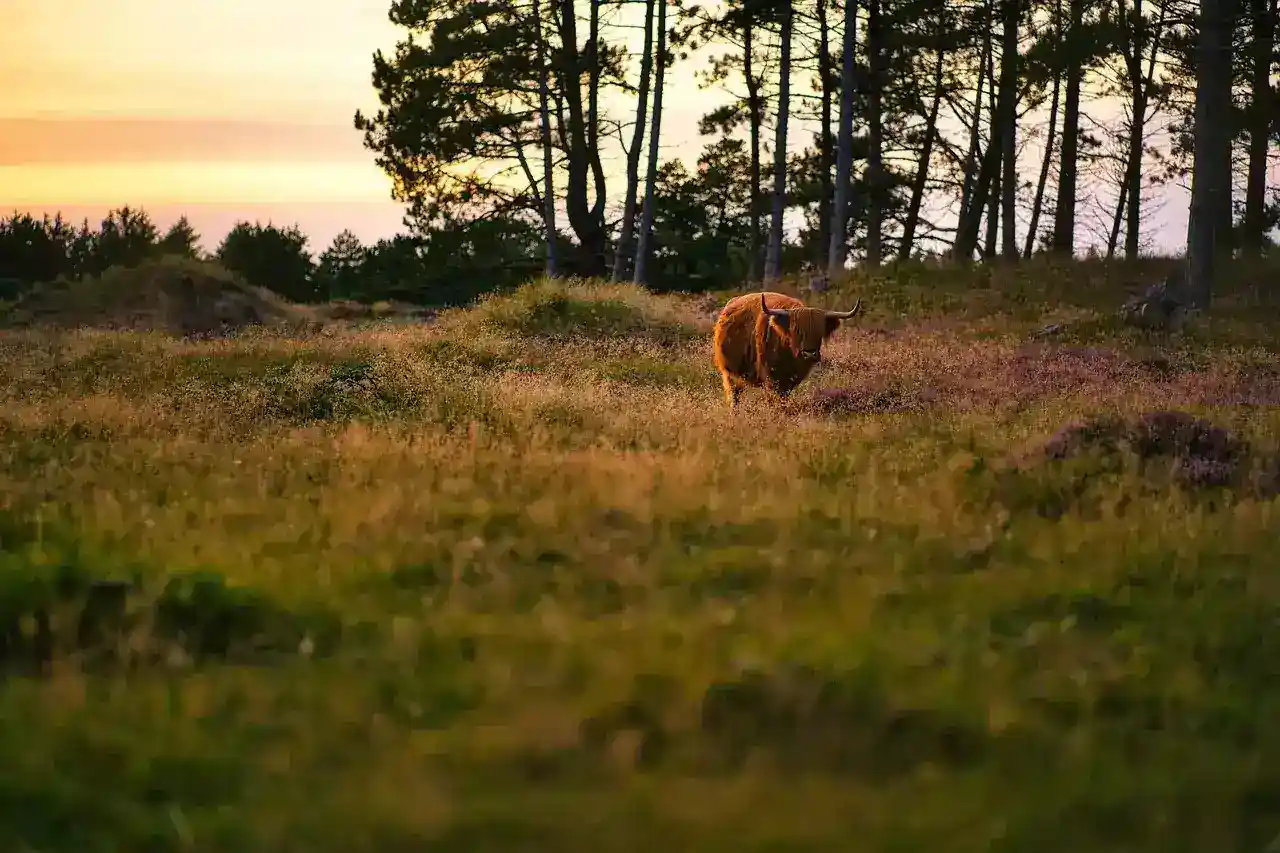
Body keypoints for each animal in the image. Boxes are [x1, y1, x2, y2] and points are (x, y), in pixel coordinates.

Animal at [711, 289, 860, 409]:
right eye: (797, 332)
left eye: (819, 332)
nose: (810, 354)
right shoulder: (770, 376)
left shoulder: (792, 379)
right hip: (729, 374)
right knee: (733, 395)